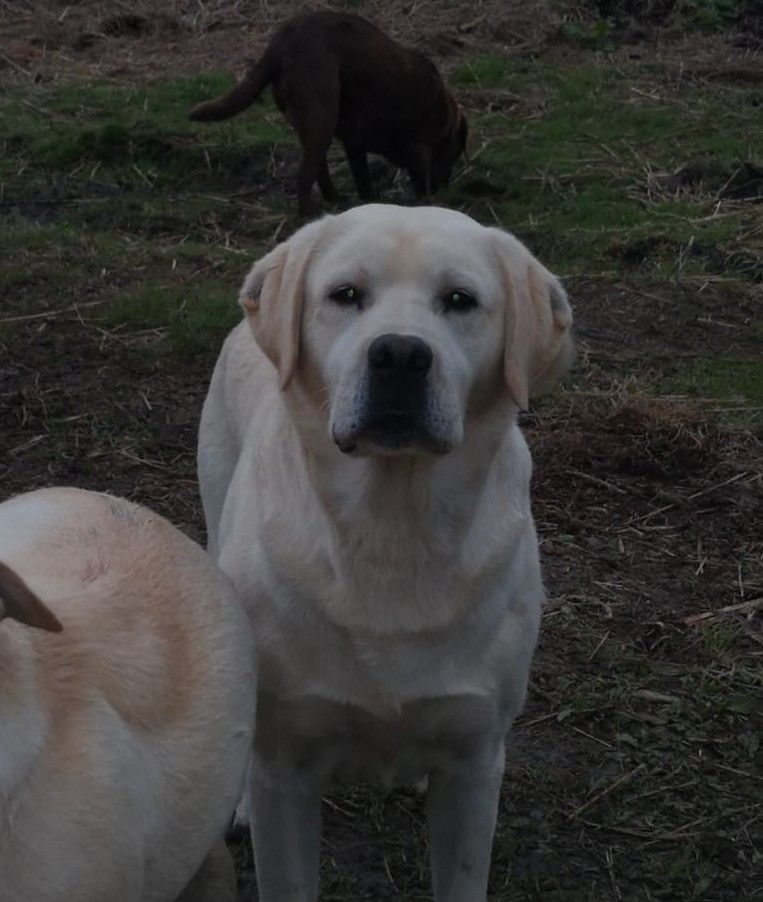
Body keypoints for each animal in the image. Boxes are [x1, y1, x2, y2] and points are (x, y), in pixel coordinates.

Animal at [190, 11, 466, 216]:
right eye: (456, 152)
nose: (445, 187)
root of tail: (281, 42)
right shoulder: (419, 148)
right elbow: (419, 183)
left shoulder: (355, 144)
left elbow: (364, 180)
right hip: (322, 111)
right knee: (305, 174)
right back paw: (309, 215)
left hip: (312, 120)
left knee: (318, 165)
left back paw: (334, 199)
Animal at [197, 205, 572, 902]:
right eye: (345, 295)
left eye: (460, 300)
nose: (399, 354)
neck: (392, 524)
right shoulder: (286, 769)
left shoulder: (477, 763)